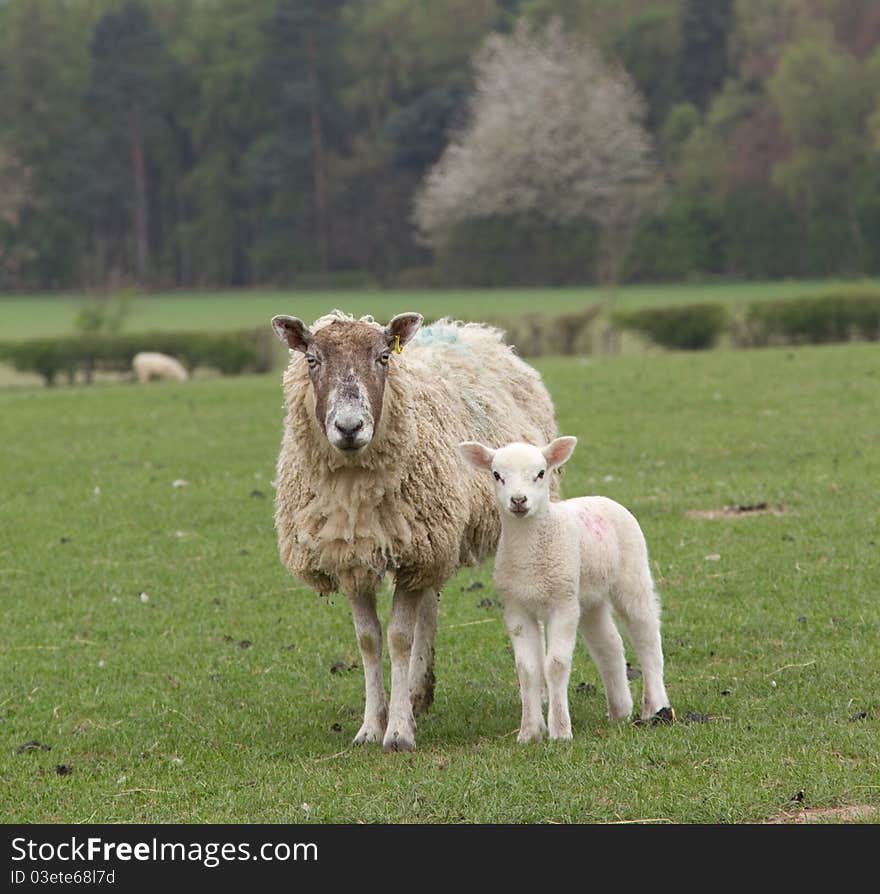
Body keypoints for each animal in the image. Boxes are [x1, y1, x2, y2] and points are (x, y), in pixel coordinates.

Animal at [272, 312, 552, 752]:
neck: (354, 491)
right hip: (431, 542)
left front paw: (398, 731)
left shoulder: (412, 555)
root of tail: (469, 329)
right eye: (312, 360)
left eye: (383, 357)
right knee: (429, 607)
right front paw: (372, 725)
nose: (349, 427)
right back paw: (418, 692)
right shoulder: (354, 556)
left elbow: (399, 638)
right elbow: (368, 640)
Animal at [458, 436, 672, 744]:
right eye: (497, 475)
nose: (518, 501)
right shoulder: (516, 608)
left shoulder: (563, 604)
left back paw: (655, 707)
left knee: (647, 637)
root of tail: (601, 498)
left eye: (540, 473)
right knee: (609, 644)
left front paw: (560, 731)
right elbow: (528, 669)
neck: (530, 557)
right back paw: (619, 709)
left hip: (631, 577)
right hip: (589, 597)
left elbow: (556, 665)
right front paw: (529, 731)